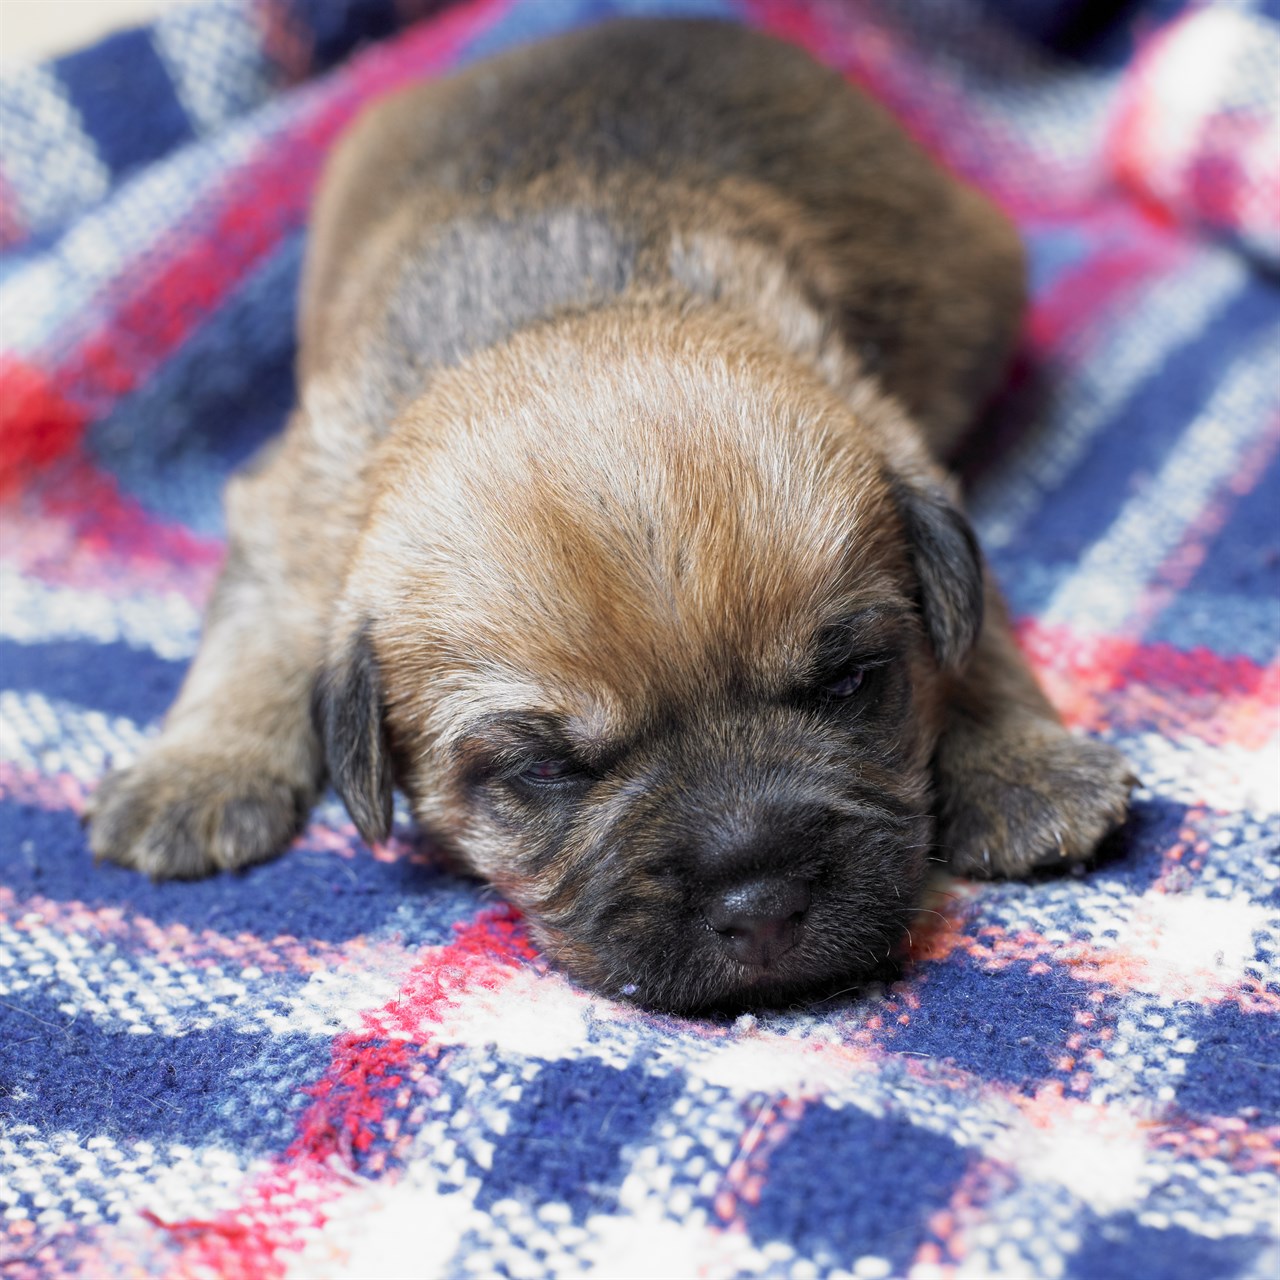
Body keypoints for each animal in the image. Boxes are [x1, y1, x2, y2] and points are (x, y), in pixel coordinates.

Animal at [85, 20, 1136, 1013]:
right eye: (545, 770)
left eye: (849, 684)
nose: (762, 908)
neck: (570, 313)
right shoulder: (293, 508)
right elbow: (252, 634)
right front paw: (199, 769)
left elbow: (974, 638)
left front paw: (1022, 769)